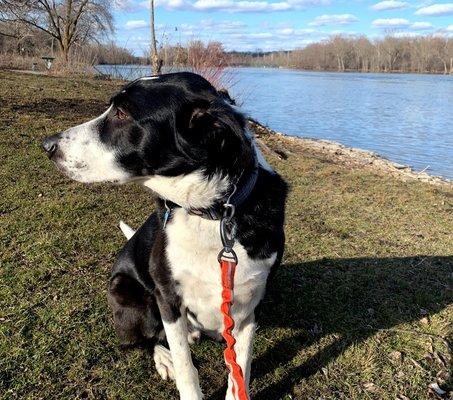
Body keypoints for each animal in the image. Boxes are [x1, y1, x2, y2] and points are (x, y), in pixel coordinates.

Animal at [44, 73, 288, 398]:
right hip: (130, 294)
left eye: (121, 113)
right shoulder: (167, 296)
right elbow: (186, 366)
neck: (211, 213)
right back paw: (163, 356)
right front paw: (180, 369)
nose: (48, 145)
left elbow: (241, 369)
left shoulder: (250, 305)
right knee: (138, 341)